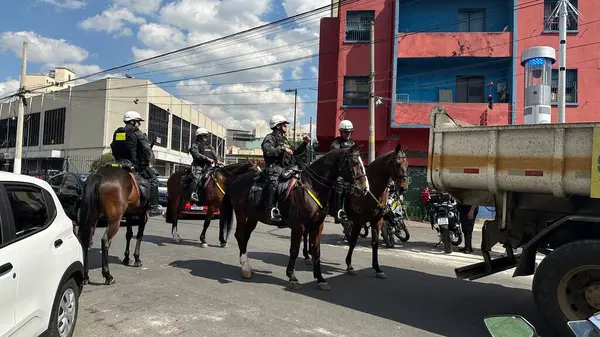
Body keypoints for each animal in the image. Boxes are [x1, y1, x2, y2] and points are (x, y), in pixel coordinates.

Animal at [78, 150, 159, 284]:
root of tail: (98, 175)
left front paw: (126, 258)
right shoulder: (143, 215)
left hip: (92, 218)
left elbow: (129, 234)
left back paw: (85, 276)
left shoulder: (130, 214)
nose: (156, 171)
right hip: (114, 220)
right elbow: (139, 236)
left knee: (85, 240)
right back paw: (108, 275)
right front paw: (137, 259)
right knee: (105, 240)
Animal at [220, 143, 370, 290]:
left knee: (245, 237)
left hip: (252, 217)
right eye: (355, 163)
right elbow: (294, 250)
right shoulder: (298, 226)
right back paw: (245, 267)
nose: (365, 189)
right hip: (241, 214)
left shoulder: (318, 226)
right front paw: (292, 276)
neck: (312, 186)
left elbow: (317, 252)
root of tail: (236, 178)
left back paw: (247, 266)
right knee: (240, 235)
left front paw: (320, 279)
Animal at [302, 145, 410, 278]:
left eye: (407, 165)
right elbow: (353, 242)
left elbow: (375, 244)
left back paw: (310, 253)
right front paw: (349, 265)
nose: (403, 187)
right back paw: (307, 255)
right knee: (306, 233)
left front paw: (377, 268)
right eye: (398, 164)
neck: (370, 192)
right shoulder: (358, 221)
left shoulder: (377, 221)